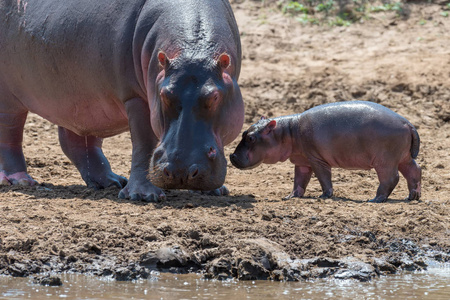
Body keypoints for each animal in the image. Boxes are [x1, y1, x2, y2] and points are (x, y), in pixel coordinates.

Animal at [0, 1, 244, 202]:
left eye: (214, 96)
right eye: (164, 94)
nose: (181, 173)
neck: (192, 50)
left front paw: (216, 191)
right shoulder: (136, 97)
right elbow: (143, 143)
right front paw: (143, 195)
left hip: (83, 98)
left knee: (77, 140)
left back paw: (111, 181)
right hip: (10, 100)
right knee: (10, 135)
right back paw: (19, 180)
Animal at [230, 101, 420, 204]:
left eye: (251, 138)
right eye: (244, 133)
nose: (231, 156)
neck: (287, 131)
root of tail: (407, 123)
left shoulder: (316, 159)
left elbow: (323, 178)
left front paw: (324, 196)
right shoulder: (302, 161)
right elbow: (299, 181)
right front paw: (290, 197)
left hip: (385, 160)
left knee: (391, 178)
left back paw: (375, 199)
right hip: (403, 157)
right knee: (415, 170)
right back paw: (412, 197)